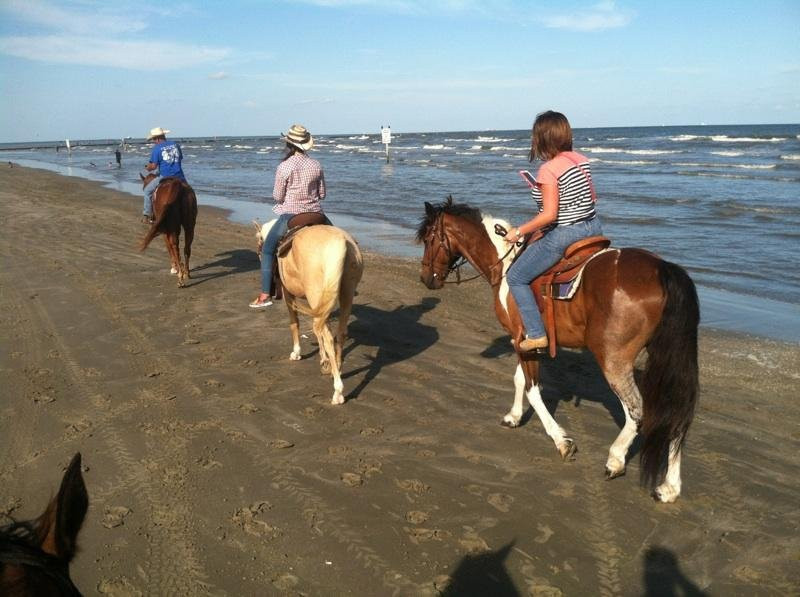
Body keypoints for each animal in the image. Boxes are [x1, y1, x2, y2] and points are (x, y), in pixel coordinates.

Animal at [256, 219, 364, 405]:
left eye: (259, 246)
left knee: (328, 336)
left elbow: (295, 324)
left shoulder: (288, 293)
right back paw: (336, 369)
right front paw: (324, 360)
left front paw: (297, 353)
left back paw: (338, 391)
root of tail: (342, 241)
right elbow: (316, 328)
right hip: (346, 294)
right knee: (339, 333)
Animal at [417, 197, 699, 503]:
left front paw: (562, 441)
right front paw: (514, 417)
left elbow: (533, 389)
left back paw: (616, 459)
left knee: (637, 411)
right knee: (674, 414)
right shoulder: (526, 340)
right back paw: (669, 487)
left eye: (428, 239)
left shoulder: (521, 339)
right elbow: (520, 380)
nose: (425, 278)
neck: (505, 265)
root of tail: (662, 269)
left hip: (613, 360)